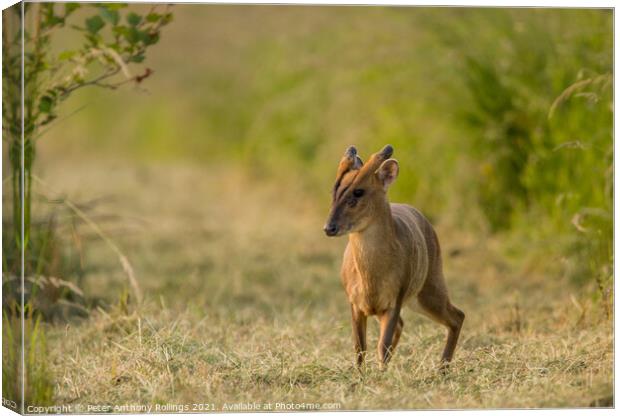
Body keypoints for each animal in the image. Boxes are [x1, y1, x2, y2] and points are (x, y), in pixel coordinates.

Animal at [324, 145, 464, 368]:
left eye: (358, 191)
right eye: (334, 190)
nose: (329, 227)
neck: (371, 279)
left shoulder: (396, 298)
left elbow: (382, 346)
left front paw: (382, 374)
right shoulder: (354, 302)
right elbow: (360, 348)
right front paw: (361, 374)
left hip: (429, 286)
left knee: (457, 316)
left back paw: (443, 368)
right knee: (407, 324)